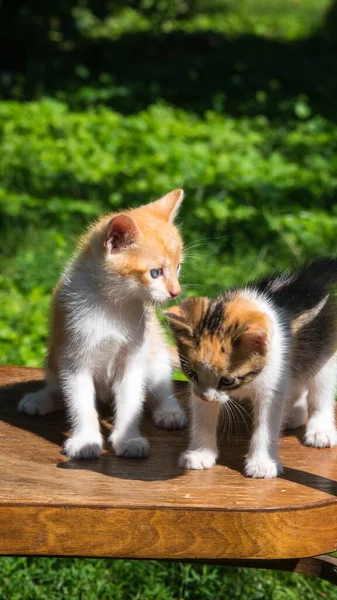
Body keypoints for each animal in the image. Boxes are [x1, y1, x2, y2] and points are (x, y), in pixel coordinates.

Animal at [18, 190, 186, 458]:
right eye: (155, 273)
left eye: (178, 267)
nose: (175, 292)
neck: (113, 305)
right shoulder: (74, 358)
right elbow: (80, 401)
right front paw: (85, 441)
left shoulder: (133, 360)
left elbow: (131, 400)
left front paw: (128, 440)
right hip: (54, 354)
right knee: (58, 387)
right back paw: (41, 399)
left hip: (154, 350)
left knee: (159, 385)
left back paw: (169, 411)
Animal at [164, 258, 336, 478]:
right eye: (192, 373)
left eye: (227, 380)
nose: (207, 396)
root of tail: (305, 278)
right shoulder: (198, 389)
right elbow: (203, 416)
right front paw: (200, 454)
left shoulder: (273, 382)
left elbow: (267, 423)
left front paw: (262, 463)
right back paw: (293, 414)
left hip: (322, 350)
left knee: (320, 389)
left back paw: (320, 429)